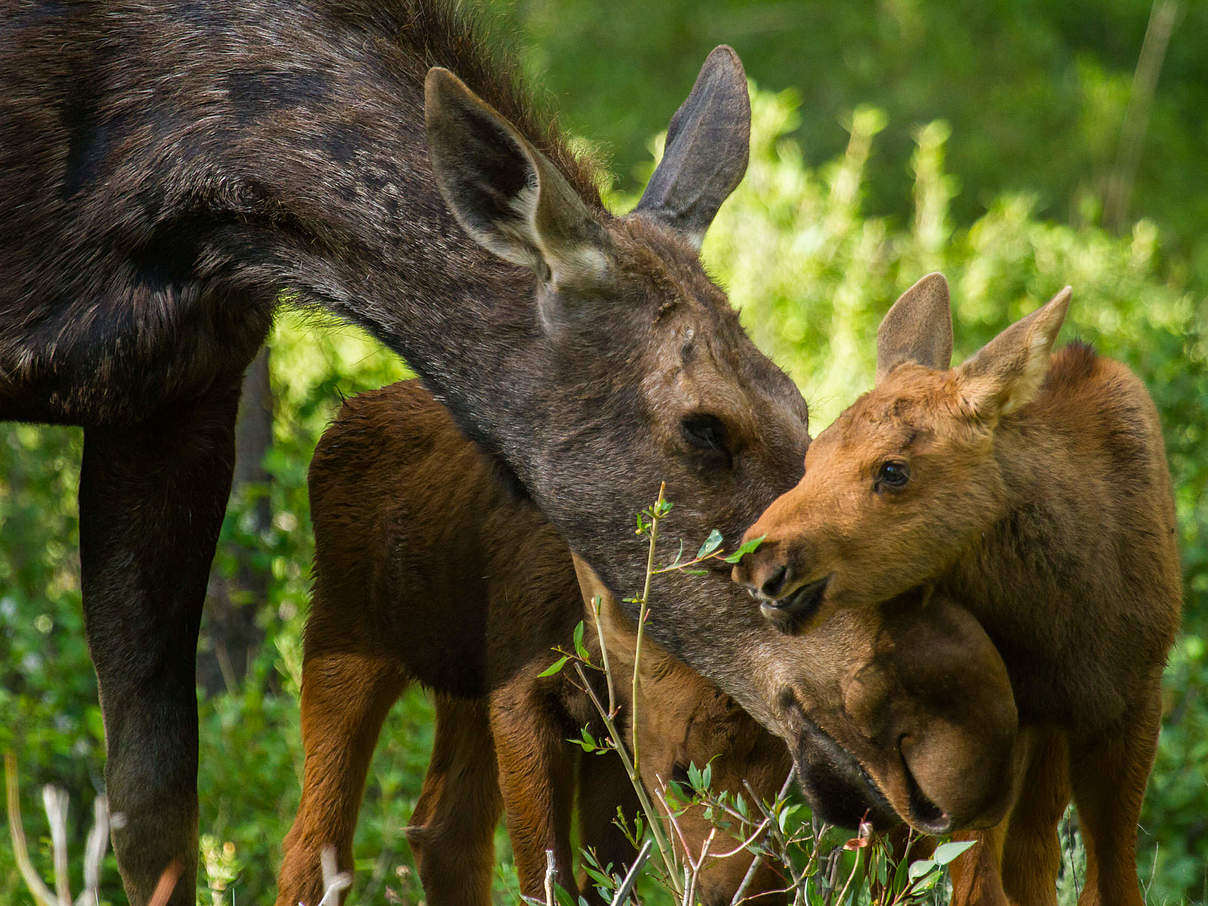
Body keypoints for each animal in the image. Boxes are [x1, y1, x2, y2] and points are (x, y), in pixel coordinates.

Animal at [734, 276, 1179, 906]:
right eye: (812, 454)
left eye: (894, 469)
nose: (759, 562)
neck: (1060, 627)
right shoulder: (993, 732)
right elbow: (977, 884)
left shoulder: (1134, 700)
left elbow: (1111, 882)